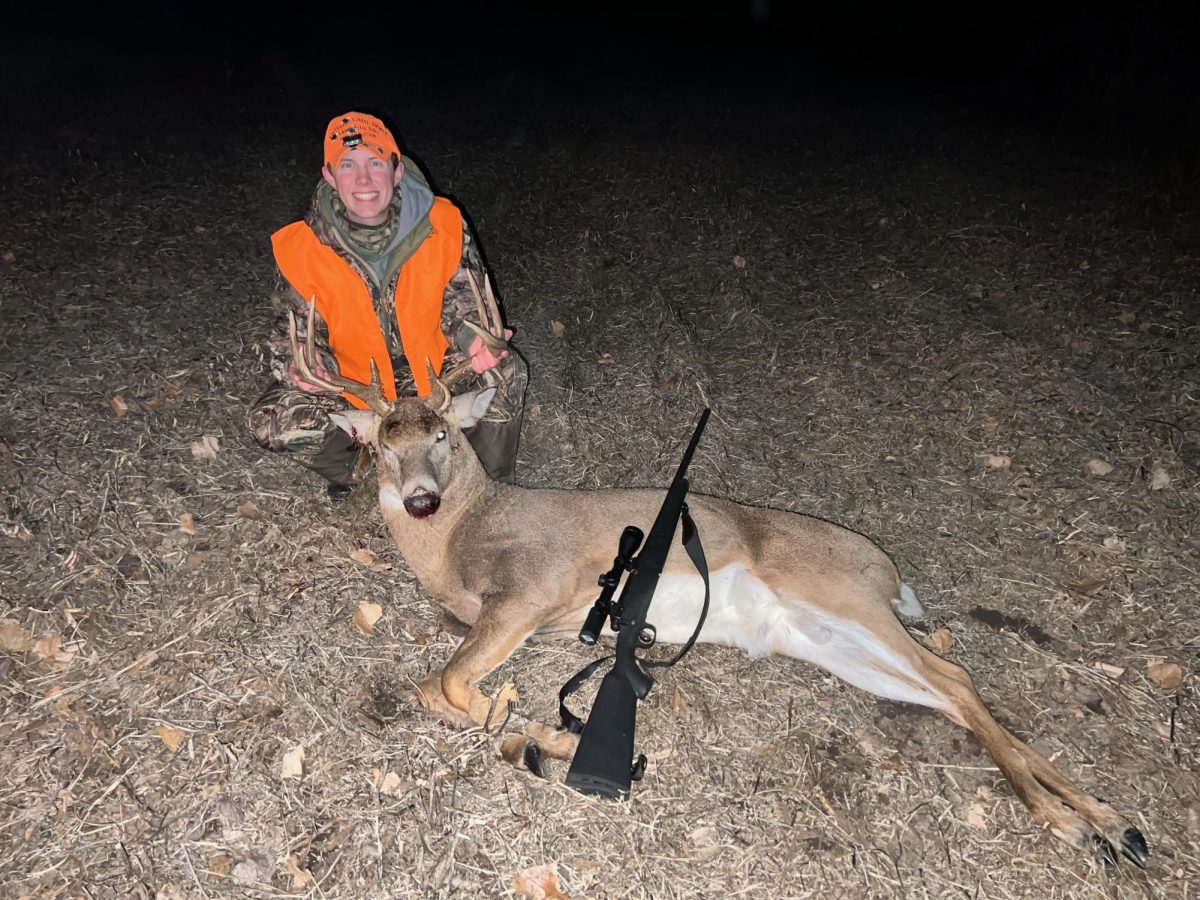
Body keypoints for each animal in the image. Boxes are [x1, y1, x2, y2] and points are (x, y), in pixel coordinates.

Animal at [285, 285, 1147, 868]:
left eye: (441, 435)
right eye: (382, 444)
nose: (420, 498)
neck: (460, 537)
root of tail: (885, 565)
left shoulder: (530, 589)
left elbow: (445, 682)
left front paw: (523, 724)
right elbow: (439, 685)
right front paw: (528, 731)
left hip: (842, 594)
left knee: (956, 674)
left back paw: (1076, 823)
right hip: (826, 641)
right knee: (949, 691)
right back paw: (1114, 823)